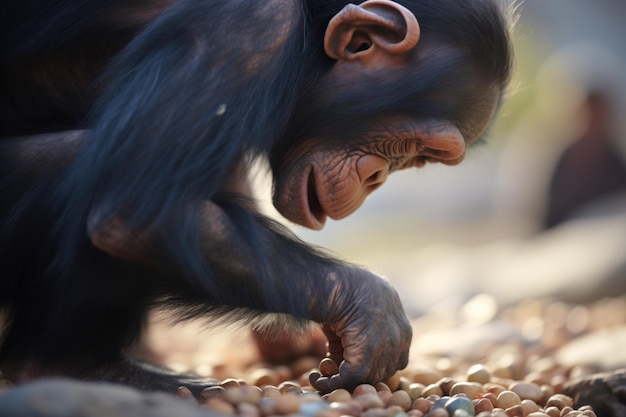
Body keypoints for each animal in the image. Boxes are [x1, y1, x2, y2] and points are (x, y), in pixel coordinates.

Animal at [1, 0, 512, 390]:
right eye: (416, 147)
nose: (377, 179)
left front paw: (291, 341)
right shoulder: (245, 30)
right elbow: (141, 208)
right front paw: (369, 308)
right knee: (79, 168)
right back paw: (82, 369)